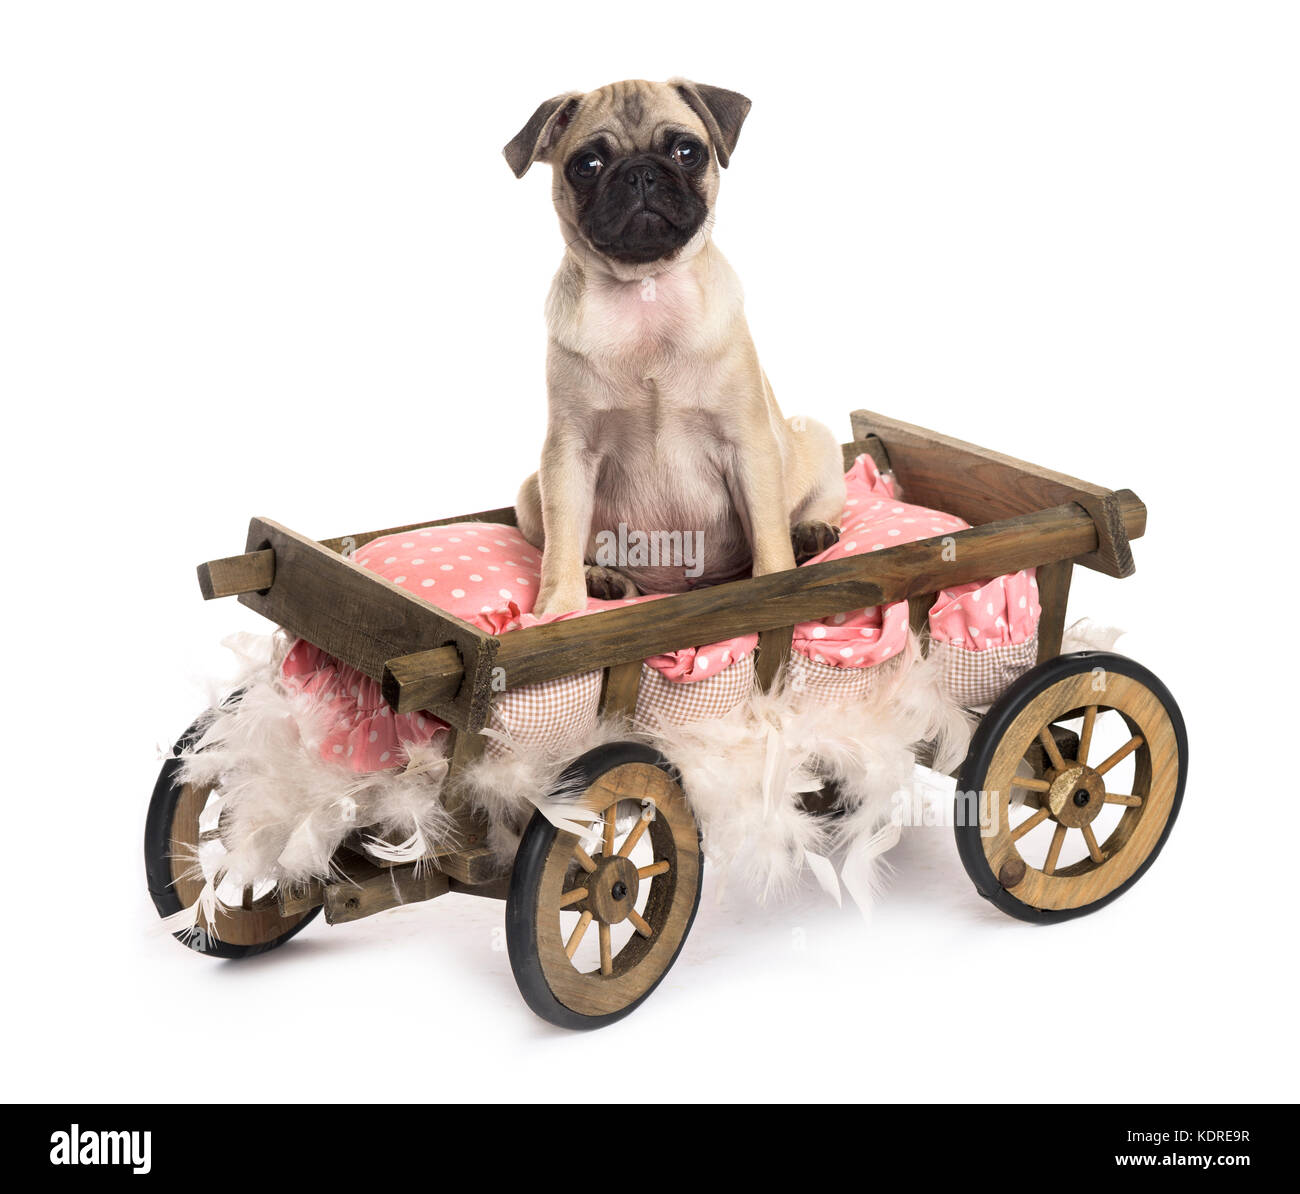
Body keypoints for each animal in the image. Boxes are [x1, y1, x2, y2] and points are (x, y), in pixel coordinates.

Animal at [501, 77, 847, 616]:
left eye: (687, 152)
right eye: (587, 165)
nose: (640, 173)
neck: (646, 290)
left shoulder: (748, 446)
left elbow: (769, 537)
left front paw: (774, 587)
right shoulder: (567, 454)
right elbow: (559, 550)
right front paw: (556, 611)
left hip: (819, 441)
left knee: (809, 511)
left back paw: (811, 533)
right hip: (529, 491)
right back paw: (604, 580)